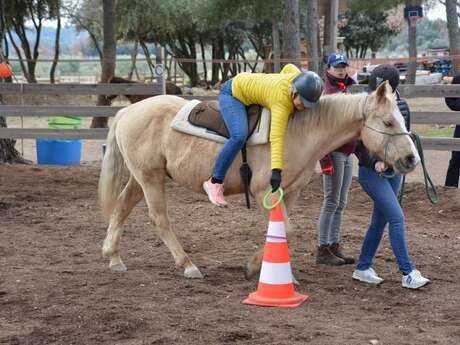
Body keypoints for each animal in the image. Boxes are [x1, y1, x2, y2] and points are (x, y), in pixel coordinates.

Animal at [99, 82, 420, 278]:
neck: (298, 130)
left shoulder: (290, 192)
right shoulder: (265, 189)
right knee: (159, 219)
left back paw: (113, 257)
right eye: (388, 122)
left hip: (142, 178)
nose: (411, 159)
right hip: (150, 178)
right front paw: (254, 267)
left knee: (122, 208)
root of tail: (128, 110)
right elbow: (286, 228)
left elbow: (281, 230)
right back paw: (188, 265)